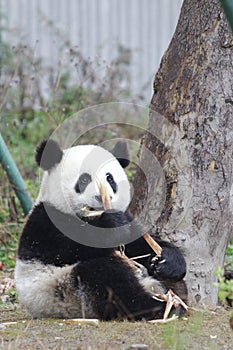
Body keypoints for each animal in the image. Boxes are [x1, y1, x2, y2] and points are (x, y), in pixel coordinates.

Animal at [14, 139, 187, 320]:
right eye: (84, 180)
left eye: (109, 178)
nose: (100, 197)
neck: (92, 215)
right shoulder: (45, 221)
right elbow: (69, 247)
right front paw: (112, 225)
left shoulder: (128, 219)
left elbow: (138, 244)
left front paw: (168, 261)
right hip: (61, 290)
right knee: (108, 277)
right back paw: (157, 308)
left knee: (175, 284)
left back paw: (173, 298)